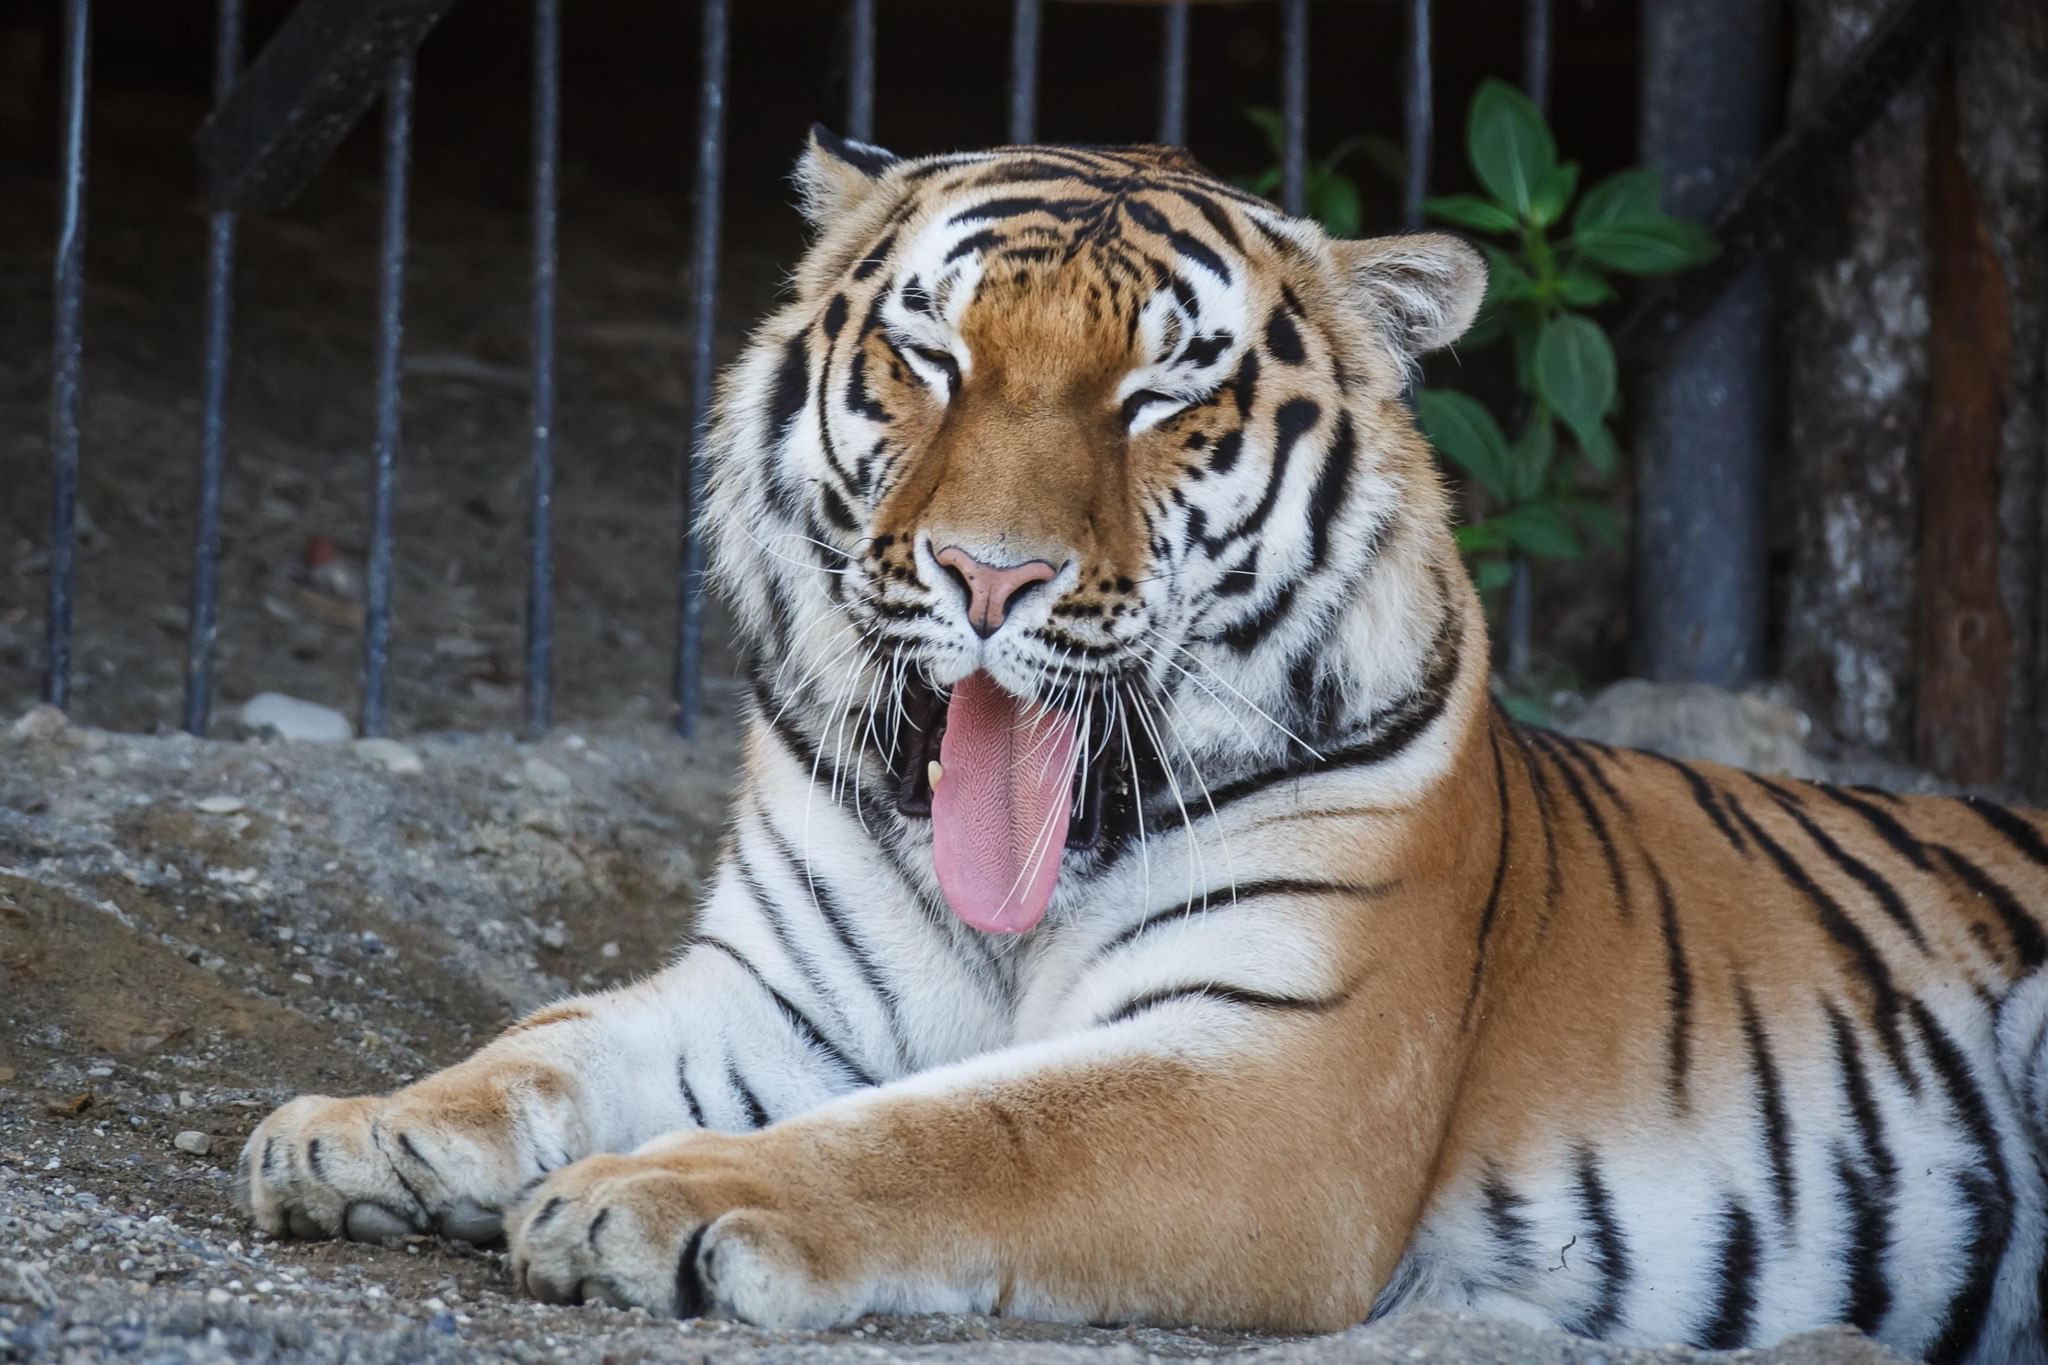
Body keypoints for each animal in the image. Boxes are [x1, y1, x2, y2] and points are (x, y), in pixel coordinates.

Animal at [232, 125, 2048, 1358]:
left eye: (1161, 397)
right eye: (931, 354)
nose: (988, 576)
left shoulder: (1272, 1080)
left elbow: (962, 1130)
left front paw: (663, 1201)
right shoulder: (777, 992)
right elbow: (549, 1039)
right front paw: (360, 1132)